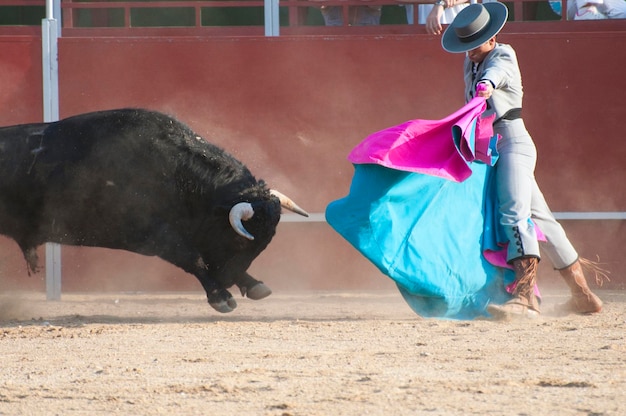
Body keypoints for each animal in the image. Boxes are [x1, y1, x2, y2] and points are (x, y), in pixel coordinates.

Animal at [0, 109, 308, 314]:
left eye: (264, 245)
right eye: (239, 240)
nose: (228, 280)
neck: (174, 174)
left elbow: (203, 255)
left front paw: (253, 284)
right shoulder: (151, 234)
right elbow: (193, 258)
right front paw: (221, 297)